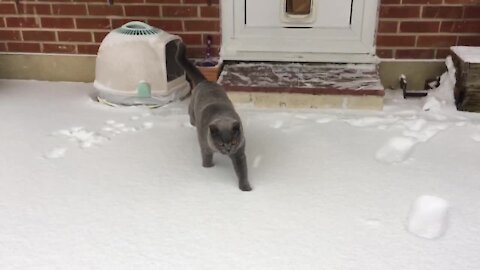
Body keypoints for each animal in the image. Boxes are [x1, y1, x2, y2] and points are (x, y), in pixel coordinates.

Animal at [175, 40, 251, 192]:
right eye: (221, 143)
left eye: (233, 142)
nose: (228, 149)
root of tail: (205, 81)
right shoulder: (205, 145)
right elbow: (206, 156)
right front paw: (208, 168)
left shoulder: (239, 151)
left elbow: (242, 170)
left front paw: (246, 189)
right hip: (192, 108)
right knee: (191, 116)